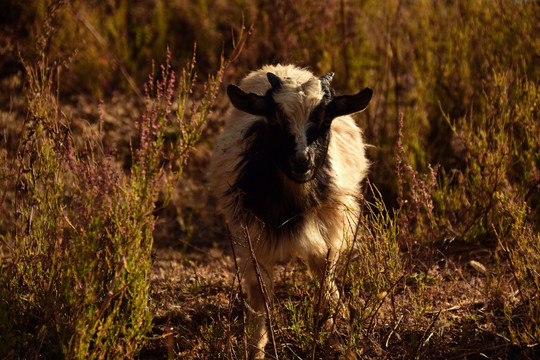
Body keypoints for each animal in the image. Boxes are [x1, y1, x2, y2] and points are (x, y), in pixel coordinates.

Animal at [209, 64, 374, 358]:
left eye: (326, 118)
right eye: (274, 119)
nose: (301, 160)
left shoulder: (328, 231)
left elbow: (326, 282)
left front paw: (338, 339)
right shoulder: (253, 237)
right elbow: (260, 293)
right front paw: (257, 349)